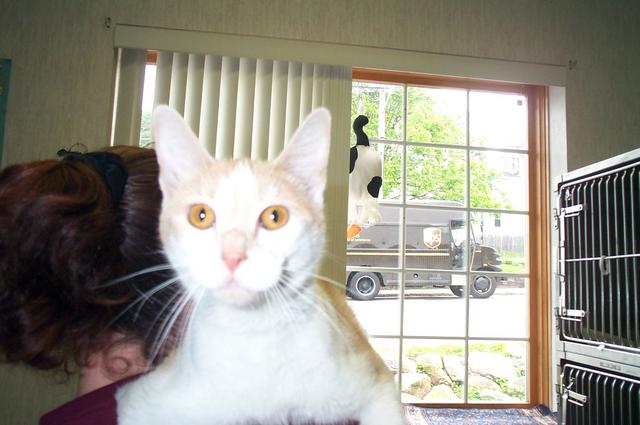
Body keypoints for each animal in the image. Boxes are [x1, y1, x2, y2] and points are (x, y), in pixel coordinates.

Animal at [116, 106, 404, 425]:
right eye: (200, 215)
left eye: (275, 216)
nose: (232, 255)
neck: (254, 332)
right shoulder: (140, 399)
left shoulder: (375, 380)